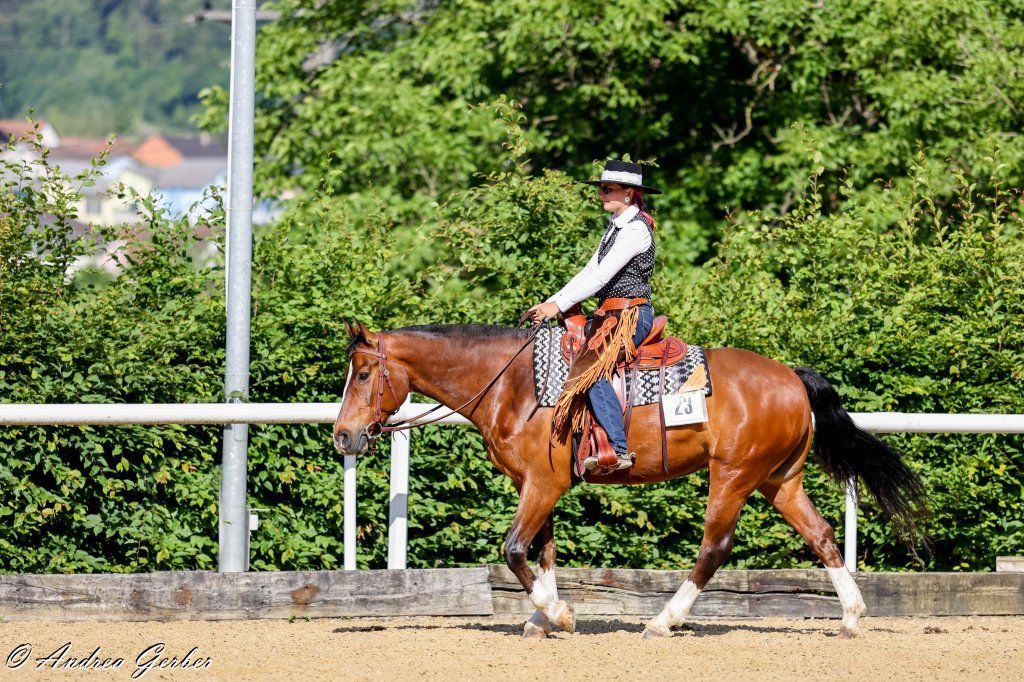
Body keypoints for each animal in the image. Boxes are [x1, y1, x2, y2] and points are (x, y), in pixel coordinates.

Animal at [332, 319, 927, 638]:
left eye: (362, 374)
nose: (343, 437)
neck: (515, 385)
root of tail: (793, 379)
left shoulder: (543, 486)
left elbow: (516, 549)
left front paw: (558, 615)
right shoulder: (536, 485)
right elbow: (543, 552)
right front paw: (541, 619)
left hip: (733, 476)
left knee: (715, 547)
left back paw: (664, 620)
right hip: (779, 480)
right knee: (822, 536)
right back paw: (851, 616)